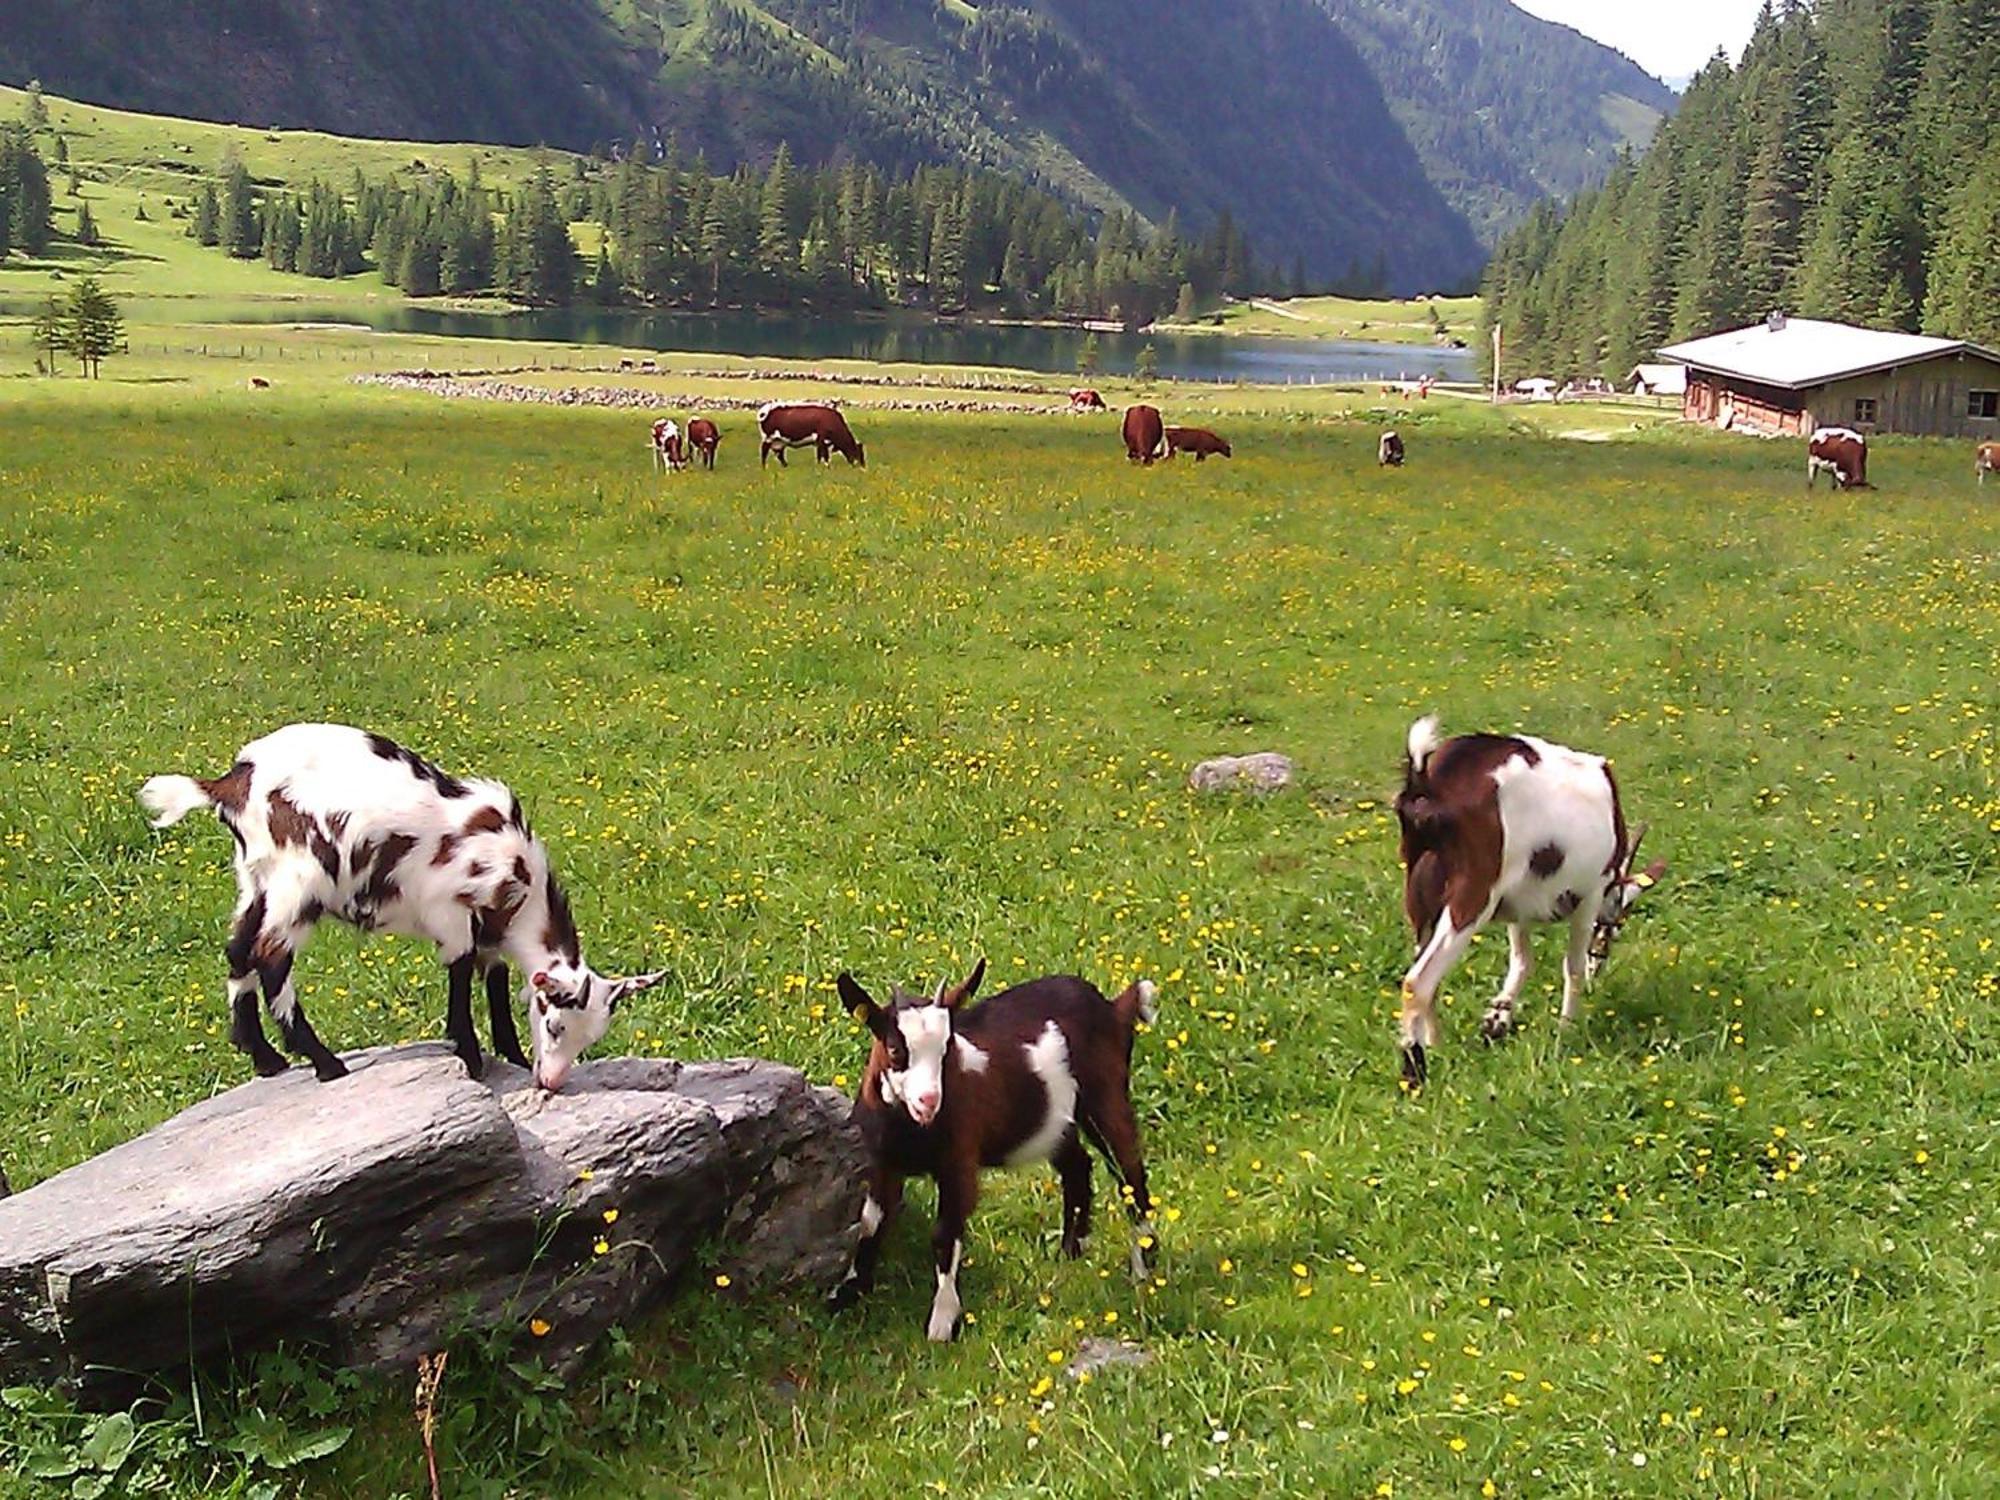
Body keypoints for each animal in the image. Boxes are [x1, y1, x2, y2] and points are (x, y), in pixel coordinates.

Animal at [145, 724, 672, 1096]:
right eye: (555, 1025)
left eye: (590, 1037)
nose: (552, 1082)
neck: (518, 880)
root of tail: (233, 782)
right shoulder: (452, 913)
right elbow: (460, 973)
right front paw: (471, 1057)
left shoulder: (489, 930)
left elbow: (496, 981)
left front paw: (513, 1056)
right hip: (300, 881)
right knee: (271, 959)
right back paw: (326, 1064)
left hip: (256, 878)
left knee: (238, 950)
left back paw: (265, 1059)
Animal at [832, 968, 1160, 1344]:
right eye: (895, 1049)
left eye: (947, 1048)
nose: (929, 1100)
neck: (911, 1129)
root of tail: (1113, 1007)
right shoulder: (881, 1162)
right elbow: (869, 1222)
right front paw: (849, 1291)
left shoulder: (958, 1162)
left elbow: (944, 1233)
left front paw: (942, 1324)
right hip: (1054, 1121)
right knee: (1078, 1166)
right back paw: (1070, 1252)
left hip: (1105, 1097)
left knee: (1129, 1172)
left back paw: (1143, 1267)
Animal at [1384, 720, 1664, 1088]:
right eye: (1619, 922)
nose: (1600, 963)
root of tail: (1427, 786)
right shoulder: (1590, 895)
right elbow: (1572, 966)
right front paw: (1565, 1033)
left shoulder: (1518, 906)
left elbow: (1521, 960)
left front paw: (1496, 1020)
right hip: (1474, 894)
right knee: (1418, 982)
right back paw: (1415, 1075)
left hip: (1420, 890)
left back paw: (1437, 1044)